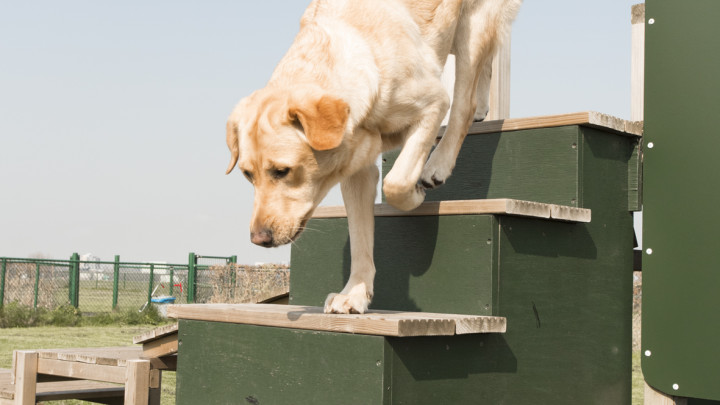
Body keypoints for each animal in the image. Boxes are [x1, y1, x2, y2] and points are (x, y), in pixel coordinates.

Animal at [228, 0, 520, 314]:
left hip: (472, 28)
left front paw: (415, 194)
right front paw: (354, 293)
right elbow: (360, 239)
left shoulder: (433, 103)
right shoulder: (357, 171)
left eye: (282, 171)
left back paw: (438, 164)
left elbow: (395, 183)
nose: (258, 238)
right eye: (247, 175)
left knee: (465, 103)